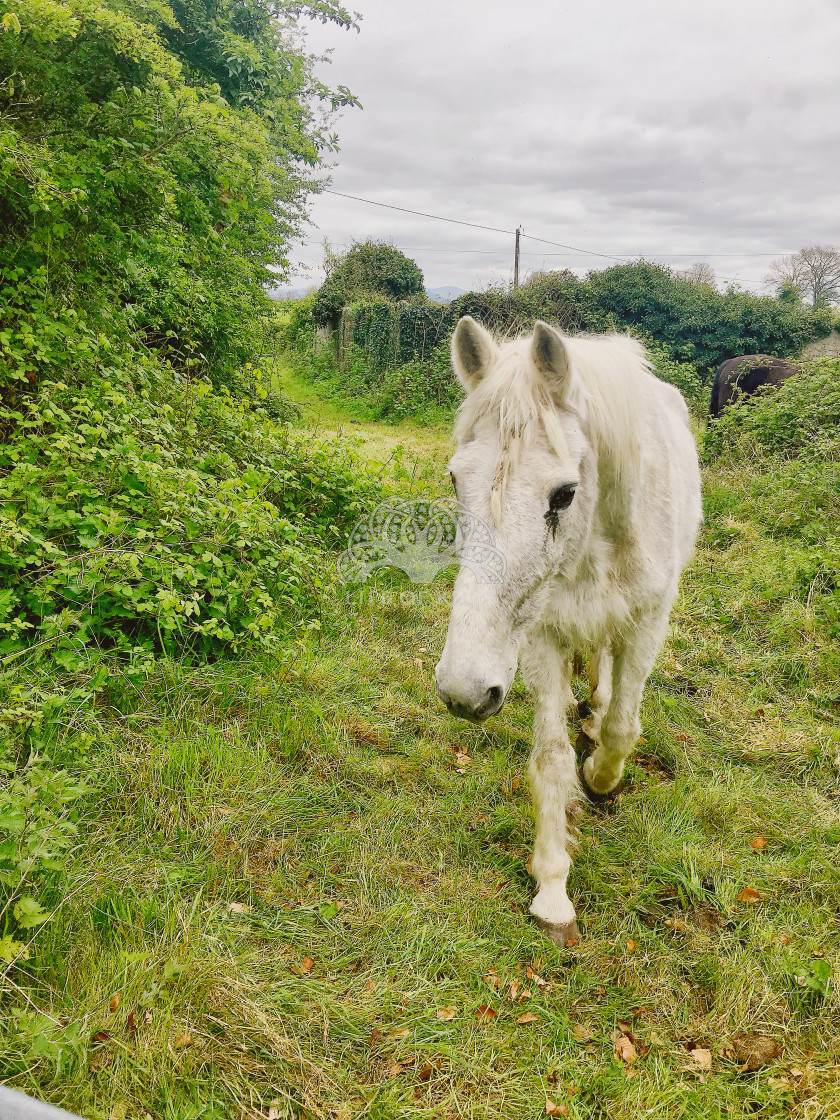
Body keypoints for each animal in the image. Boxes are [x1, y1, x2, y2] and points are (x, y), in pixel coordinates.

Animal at [434, 315, 703, 945]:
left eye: (564, 493)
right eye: (456, 481)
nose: (462, 690)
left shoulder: (647, 623)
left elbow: (624, 729)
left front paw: (602, 779)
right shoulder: (543, 637)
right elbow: (551, 757)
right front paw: (553, 888)